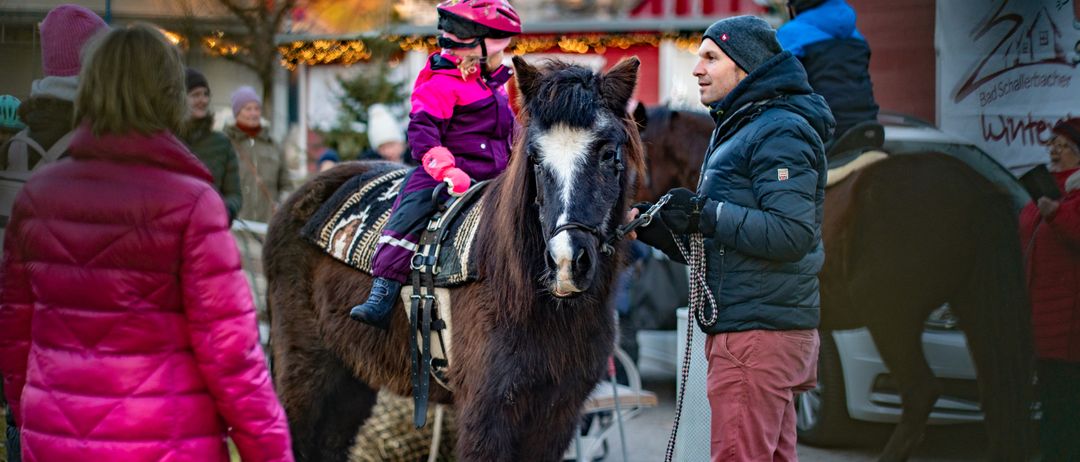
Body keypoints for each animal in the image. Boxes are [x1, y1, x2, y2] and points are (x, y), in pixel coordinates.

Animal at [263, 57, 646, 462]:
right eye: (536, 160)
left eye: (608, 155)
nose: (565, 262)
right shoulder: (487, 412)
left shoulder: (558, 414)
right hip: (304, 371)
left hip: (349, 377)